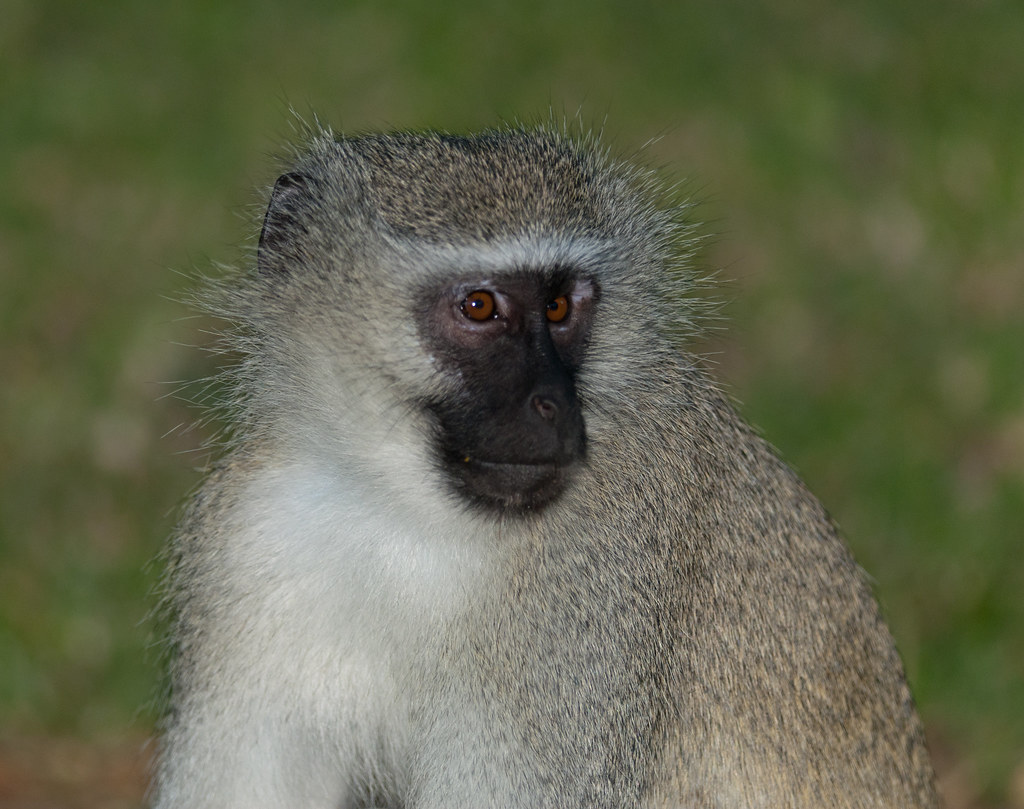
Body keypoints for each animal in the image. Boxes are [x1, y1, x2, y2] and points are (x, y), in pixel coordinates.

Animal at [152, 125, 938, 809]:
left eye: (560, 306)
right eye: (479, 306)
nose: (555, 406)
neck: (409, 512)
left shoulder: (600, 585)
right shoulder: (253, 534)